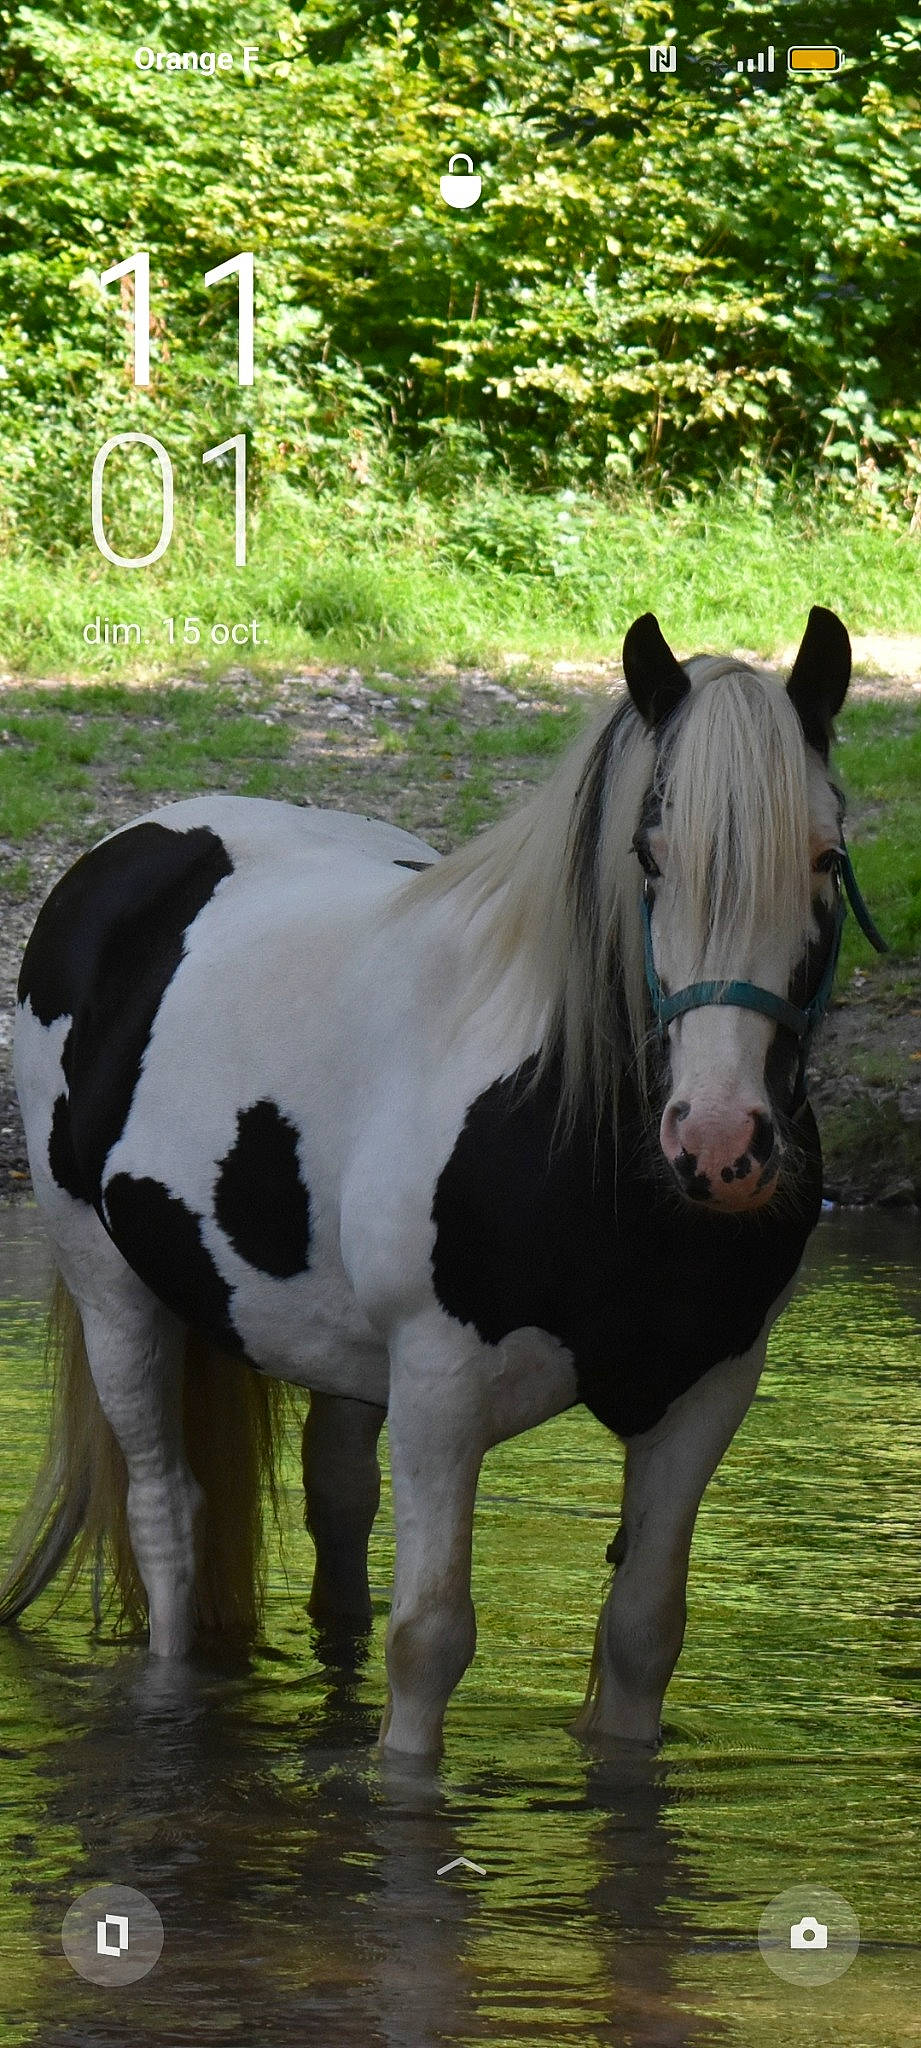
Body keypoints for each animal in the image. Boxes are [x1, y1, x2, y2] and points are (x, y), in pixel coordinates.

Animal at [0, 608, 886, 1757]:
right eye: (650, 856)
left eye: (826, 857)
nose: (721, 1141)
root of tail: (131, 848)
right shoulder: (438, 1387)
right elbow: (427, 1640)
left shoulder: (705, 1393)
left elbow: (641, 1633)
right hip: (115, 1292)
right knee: (169, 1520)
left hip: (328, 1348)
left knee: (336, 1509)